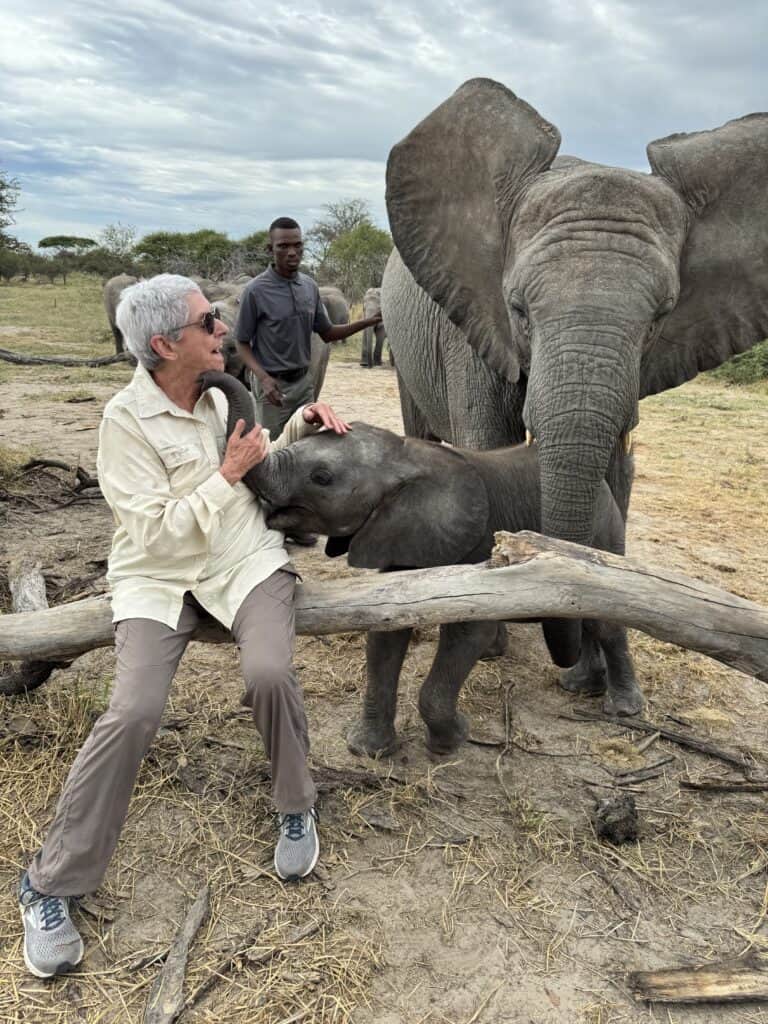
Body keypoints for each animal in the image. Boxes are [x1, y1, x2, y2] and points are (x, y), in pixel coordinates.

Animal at [200, 370, 644, 757]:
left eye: (322, 478)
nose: (204, 377)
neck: (405, 457)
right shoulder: (401, 536)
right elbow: (386, 630)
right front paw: (370, 750)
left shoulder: (472, 544)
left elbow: (468, 633)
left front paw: (452, 740)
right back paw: (580, 686)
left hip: (606, 527)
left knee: (607, 617)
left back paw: (622, 708)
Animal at [383, 78, 768, 672]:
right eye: (518, 308)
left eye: (660, 316)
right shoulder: (473, 323)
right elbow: (489, 443)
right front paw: (489, 643)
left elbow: (617, 474)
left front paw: (592, 668)